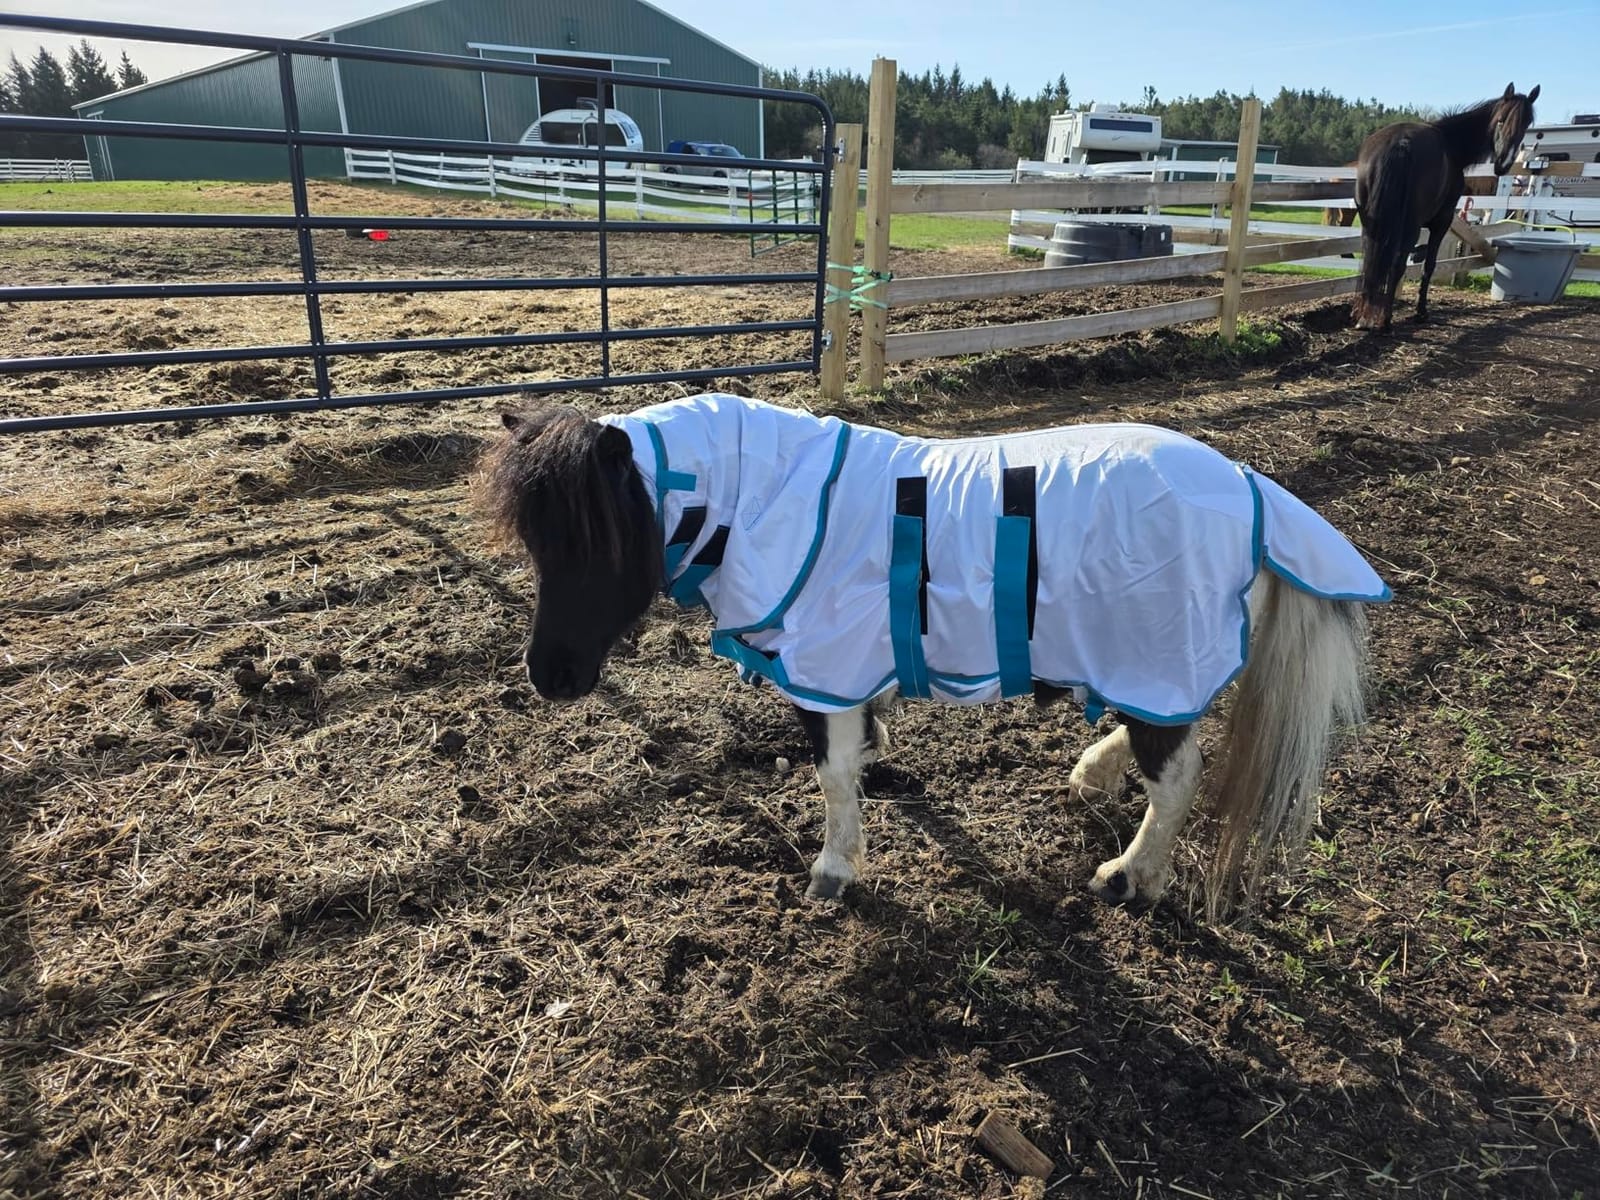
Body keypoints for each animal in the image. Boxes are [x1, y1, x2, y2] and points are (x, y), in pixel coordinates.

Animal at [481, 394, 1391, 917]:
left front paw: (834, 870)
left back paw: (1130, 875)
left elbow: (834, 777)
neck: (768, 500)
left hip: (1157, 660)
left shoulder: (825, 670)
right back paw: (1095, 773)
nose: (549, 677)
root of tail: (1248, 484)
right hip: (1152, 668)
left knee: (1176, 779)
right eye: (533, 542)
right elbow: (861, 750)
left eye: (598, 543)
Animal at [1352, 83, 1539, 331]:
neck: (1452, 144)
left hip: (1369, 222)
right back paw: (1385, 320)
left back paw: (1364, 317)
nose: (1503, 164)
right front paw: (1421, 312)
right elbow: (1428, 265)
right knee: (1396, 264)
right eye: (1501, 120)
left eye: (1526, 124)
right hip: (1409, 225)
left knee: (1369, 261)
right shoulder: (1442, 221)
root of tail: (1401, 143)